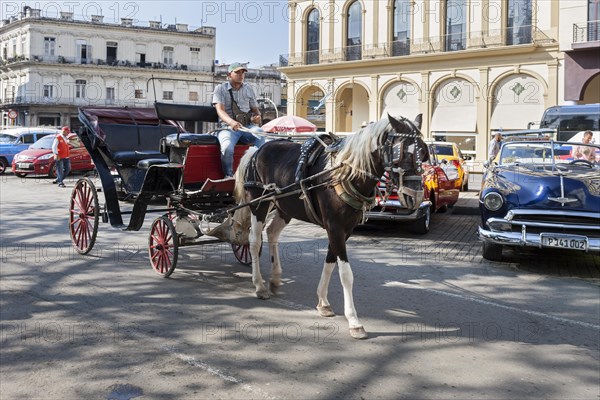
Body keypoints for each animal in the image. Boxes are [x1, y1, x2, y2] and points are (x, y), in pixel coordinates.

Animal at [232, 114, 428, 340]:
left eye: (424, 152)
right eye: (400, 153)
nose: (416, 197)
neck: (345, 173)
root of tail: (257, 150)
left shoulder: (345, 229)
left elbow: (330, 261)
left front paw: (323, 303)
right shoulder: (334, 227)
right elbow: (346, 274)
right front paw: (354, 321)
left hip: (285, 207)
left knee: (272, 232)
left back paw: (275, 278)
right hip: (259, 204)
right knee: (254, 242)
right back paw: (259, 285)